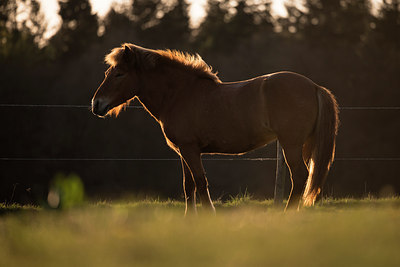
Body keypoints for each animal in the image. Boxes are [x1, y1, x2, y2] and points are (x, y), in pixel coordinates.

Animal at [92, 44, 340, 216]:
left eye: (119, 74)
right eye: (107, 73)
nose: (96, 104)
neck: (180, 94)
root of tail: (314, 86)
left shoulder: (190, 149)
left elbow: (201, 183)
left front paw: (207, 216)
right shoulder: (183, 152)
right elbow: (189, 186)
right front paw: (189, 218)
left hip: (291, 144)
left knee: (300, 176)